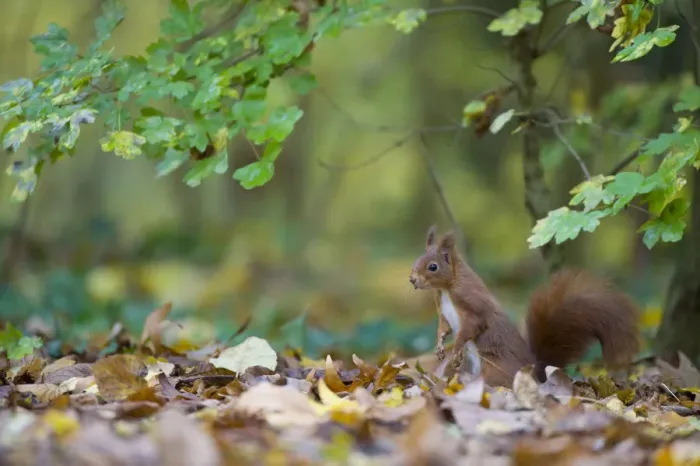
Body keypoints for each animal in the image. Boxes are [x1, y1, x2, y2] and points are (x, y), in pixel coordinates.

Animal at [409, 225, 640, 388]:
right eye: (416, 260)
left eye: (433, 267)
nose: (412, 280)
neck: (446, 290)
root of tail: (534, 373)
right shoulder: (443, 311)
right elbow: (444, 328)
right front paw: (439, 347)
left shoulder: (472, 303)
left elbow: (471, 327)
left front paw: (456, 348)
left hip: (494, 366)